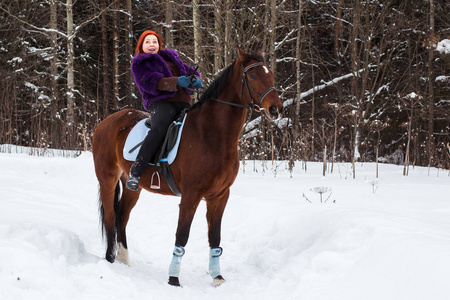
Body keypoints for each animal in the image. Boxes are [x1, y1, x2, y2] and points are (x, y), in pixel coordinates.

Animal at [91, 48, 282, 288]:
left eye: (271, 75)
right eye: (254, 75)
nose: (275, 109)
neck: (212, 134)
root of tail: (106, 122)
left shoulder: (219, 196)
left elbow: (215, 237)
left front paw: (217, 277)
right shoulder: (191, 195)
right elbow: (182, 234)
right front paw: (173, 278)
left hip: (131, 185)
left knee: (122, 217)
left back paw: (124, 261)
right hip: (107, 179)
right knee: (109, 216)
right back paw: (110, 259)